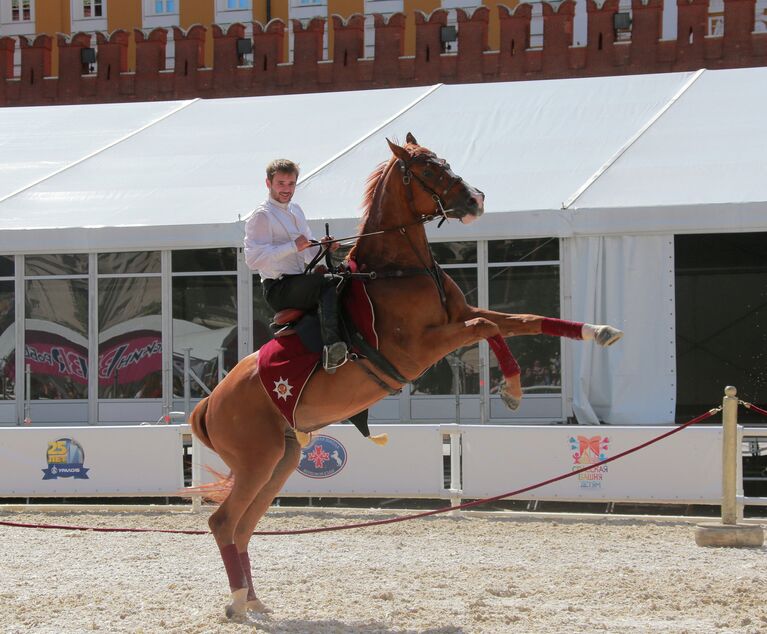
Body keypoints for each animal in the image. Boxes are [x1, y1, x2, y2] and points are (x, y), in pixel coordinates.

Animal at [188, 132, 624, 612]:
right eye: (429, 170)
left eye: (445, 160)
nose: (477, 199)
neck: (398, 270)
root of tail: (210, 402)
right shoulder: (421, 348)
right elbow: (488, 326)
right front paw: (511, 388)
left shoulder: (460, 316)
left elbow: (521, 319)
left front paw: (597, 330)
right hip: (257, 463)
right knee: (224, 522)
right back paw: (239, 600)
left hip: (279, 461)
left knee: (243, 526)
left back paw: (251, 600)